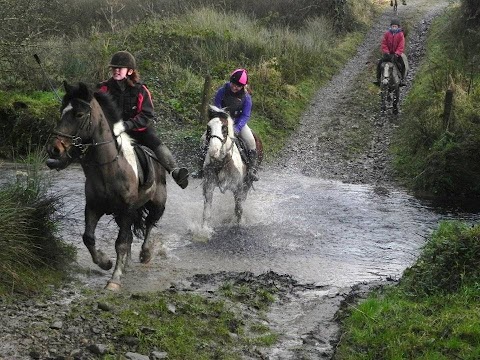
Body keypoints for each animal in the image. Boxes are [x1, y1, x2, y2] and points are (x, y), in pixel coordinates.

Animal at [46, 81, 167, 290]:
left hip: (156, 204)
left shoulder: (127, 210)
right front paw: (105, 262)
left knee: (149, 224)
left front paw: (114, 280)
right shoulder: (93, 207)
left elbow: (121, 243)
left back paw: (144, 254)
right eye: (62, 111)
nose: (54, 149)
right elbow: (88, 237)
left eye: (79, 114)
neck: (108, 167)